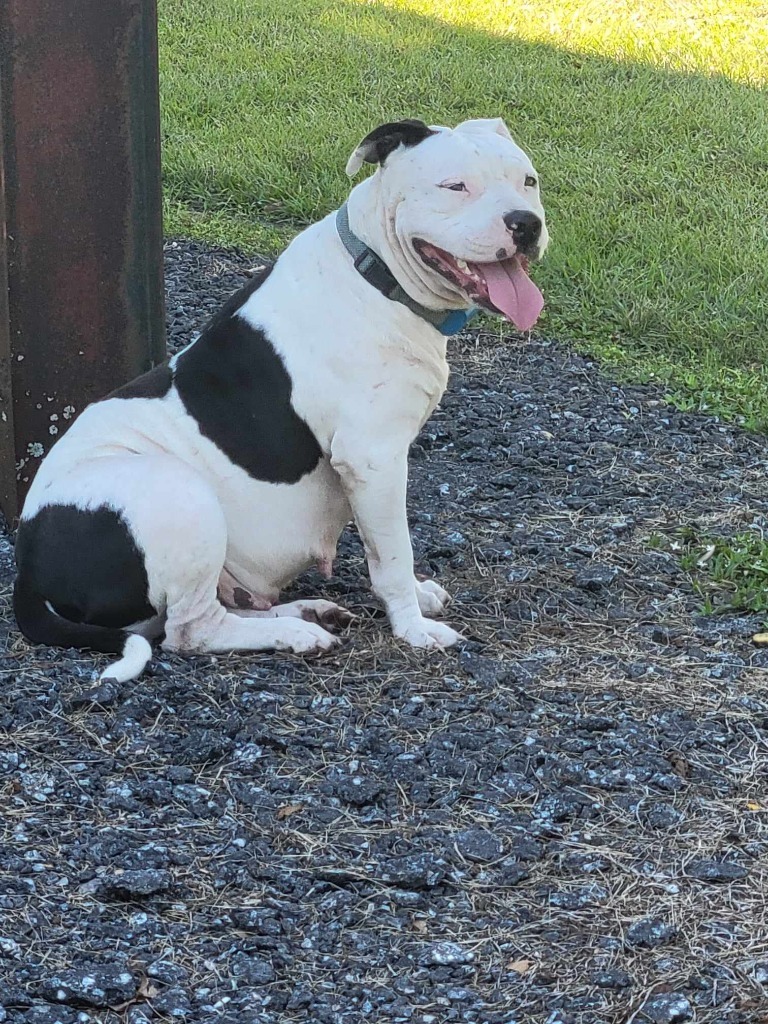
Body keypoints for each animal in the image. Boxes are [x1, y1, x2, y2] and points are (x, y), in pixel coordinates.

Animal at [12, 117, 548, 679]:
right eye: (455, 186)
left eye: (528, 181)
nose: (525, 223)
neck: (374, 275)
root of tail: (28, 567)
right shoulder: (373, 461)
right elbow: (394, 555)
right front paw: (414, 629)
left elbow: (382, 552)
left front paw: (416, 601)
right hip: (178, 496)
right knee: (191, 631)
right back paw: (296, 634)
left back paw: (305, 612)